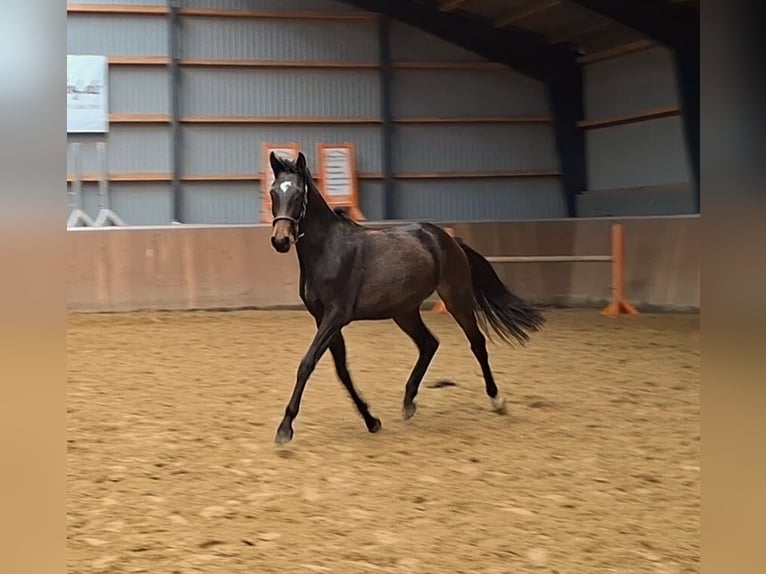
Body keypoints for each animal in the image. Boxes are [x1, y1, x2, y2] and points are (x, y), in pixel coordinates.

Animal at [267, 151, 545, 444]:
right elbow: (342, 370)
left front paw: (285, 428)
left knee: (476, 343)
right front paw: (371, 420)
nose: (280, 240)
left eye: (298, 192)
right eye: (273, 191)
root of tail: (449, 240)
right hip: (404, 311)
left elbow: (307, 363)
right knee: (429, 344)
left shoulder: (336, 315)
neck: (328, 250)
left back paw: (497, 400)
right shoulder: (322, 317)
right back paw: (409, 401)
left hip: (455, 298)